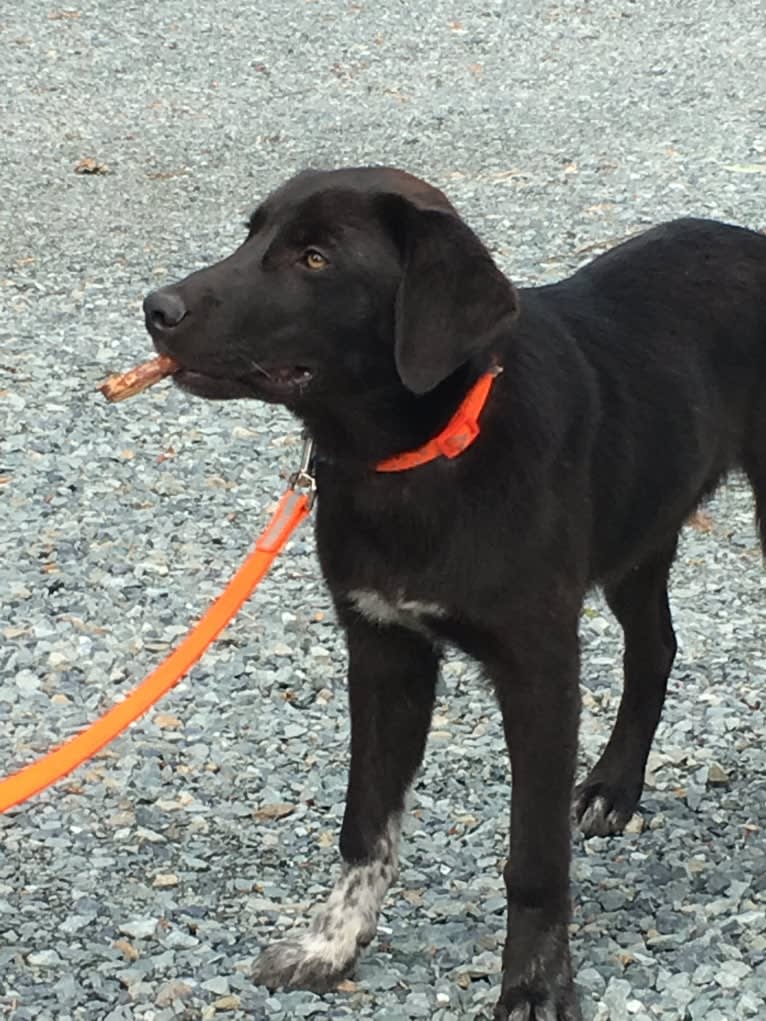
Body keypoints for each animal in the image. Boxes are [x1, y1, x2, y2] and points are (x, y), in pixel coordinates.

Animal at [140, 169, 763, 1021]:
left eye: (314, 257)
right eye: (251, 235)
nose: (156, 308)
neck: (421, 458)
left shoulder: (538, 670)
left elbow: (533, 861)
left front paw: (534, 985)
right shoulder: (383, 652)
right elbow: (364, 824)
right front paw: (330, 943)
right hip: (642, 523)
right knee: (656, 647)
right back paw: (614, 786)